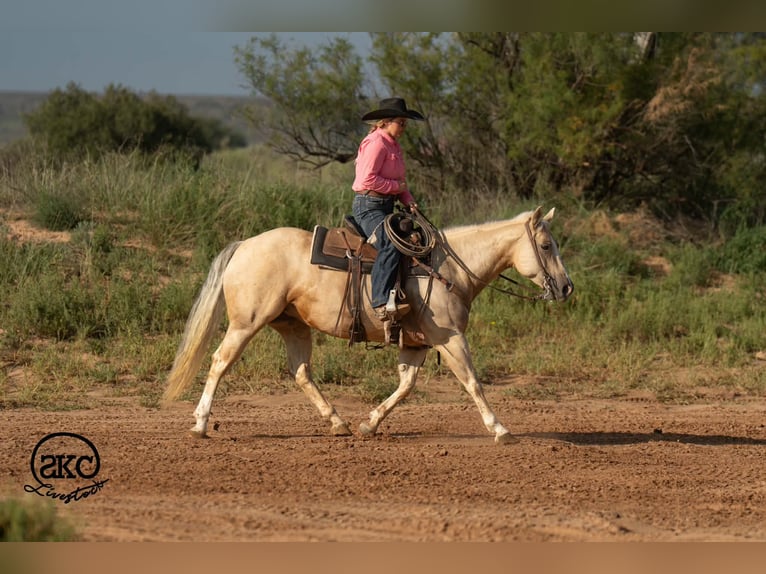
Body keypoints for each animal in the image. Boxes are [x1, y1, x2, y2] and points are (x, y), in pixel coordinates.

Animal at [162, 206, 573, 444]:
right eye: (546, 245)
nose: (566, 287)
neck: (447, 268)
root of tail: (245, 244)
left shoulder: (416, 343)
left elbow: (406, 386)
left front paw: (370, 424)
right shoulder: (450, 337)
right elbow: (472, 381)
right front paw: (500, 429)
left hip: (293, 326)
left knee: (301, 372)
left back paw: (338, 423)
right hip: (246, 324)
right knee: (219, 362)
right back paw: (200, 424)